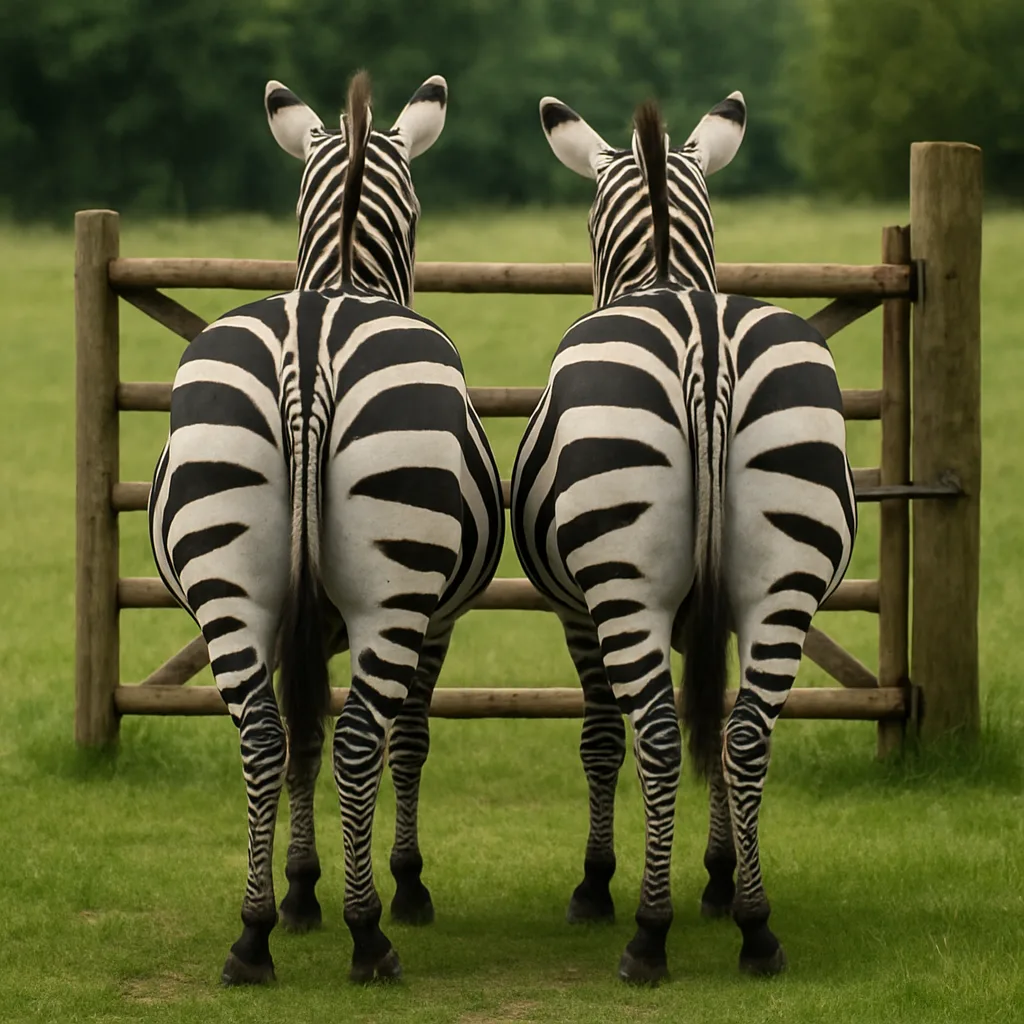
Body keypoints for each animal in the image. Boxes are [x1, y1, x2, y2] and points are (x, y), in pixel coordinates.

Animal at [148, 71, 504, 985]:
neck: (344, 273)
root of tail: (310, 342)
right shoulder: (439, 621)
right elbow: (405, 740)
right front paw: (400, 888)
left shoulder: (289, 625)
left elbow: (298, 737)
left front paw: (297, 894)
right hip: (395, 594)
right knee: (359, 740)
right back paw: (371, 934)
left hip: (228, 583)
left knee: (265, 737)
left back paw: (250, 937)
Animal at [510, 92, 856, 982]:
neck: (666, 274)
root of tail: (702, 336)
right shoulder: (727, 612)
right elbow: (722, 722)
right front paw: (722, 878)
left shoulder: (576, 610)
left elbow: (601, 736)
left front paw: (595, 885)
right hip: (784, 581)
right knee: (747, 734)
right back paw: (758, 929)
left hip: (623, 587)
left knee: (660, 737)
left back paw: (647, 933)